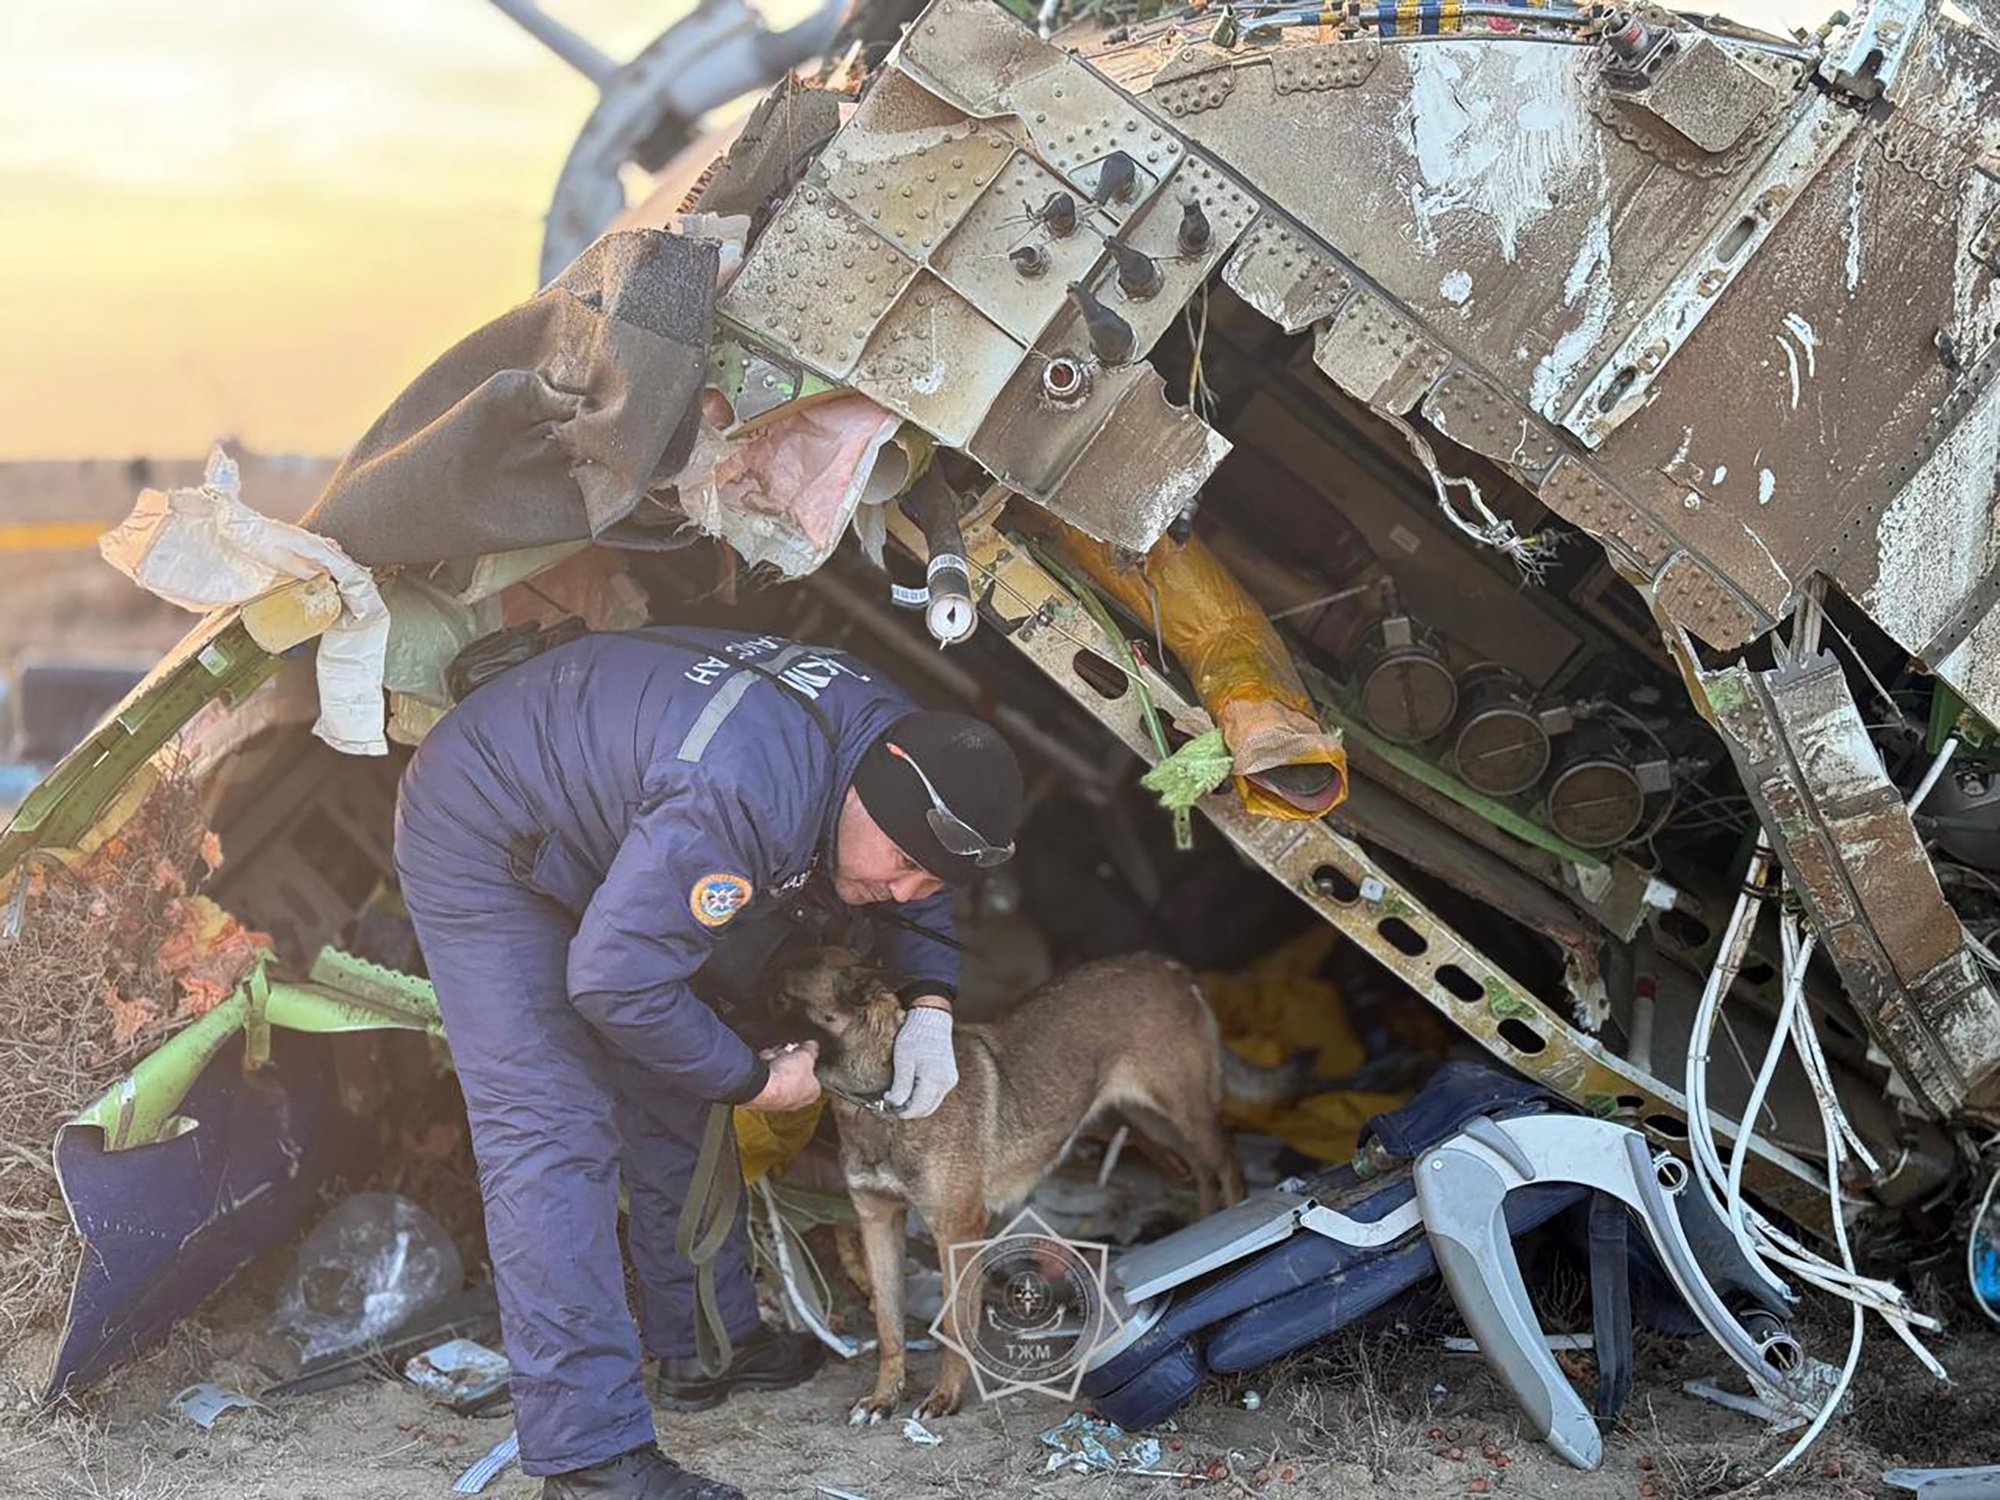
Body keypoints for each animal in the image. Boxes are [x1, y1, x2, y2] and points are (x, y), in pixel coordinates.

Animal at [772, 956, 1240, 1424]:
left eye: (778, 999)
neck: (880, 1101)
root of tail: (1167, 965)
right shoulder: (877, 1221)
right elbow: (888, 1326)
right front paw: (883, 1398)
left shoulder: (957, 1229)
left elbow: (955, 1323)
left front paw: (946, 1397)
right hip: (1150, 1120)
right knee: (1202, 1172)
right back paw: (1205, 1224)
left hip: (1184, 1113)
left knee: (1227, 1164)